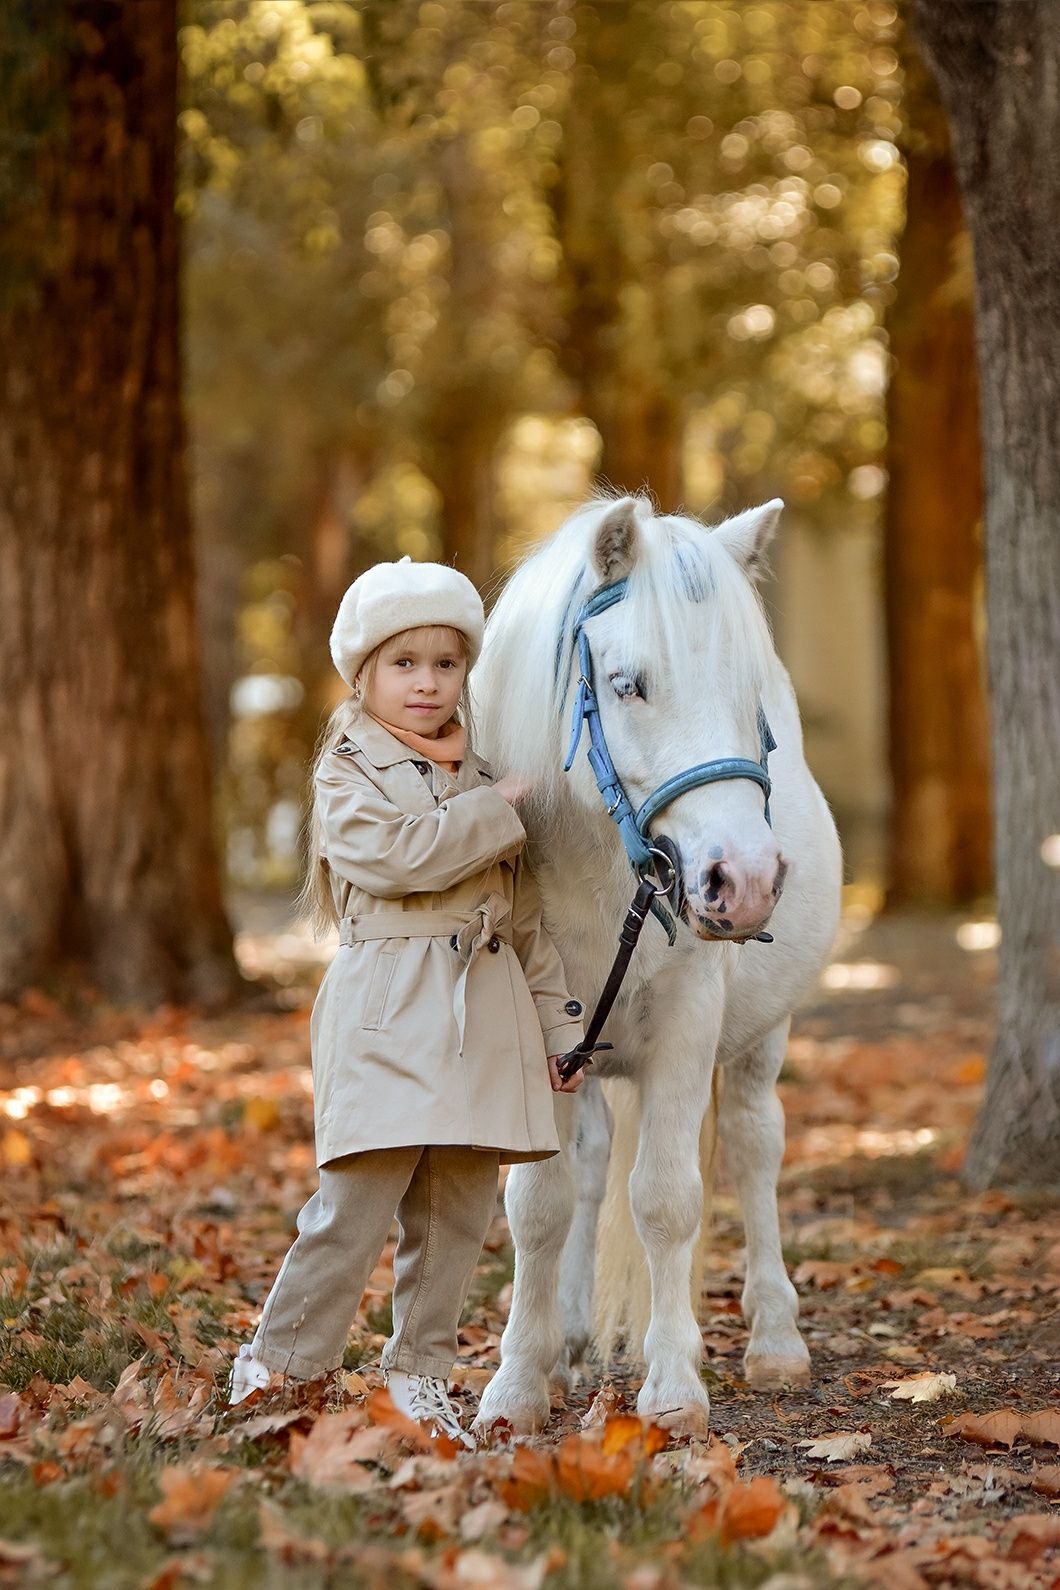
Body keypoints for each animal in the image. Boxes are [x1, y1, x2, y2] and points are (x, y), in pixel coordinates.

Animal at [476, 496, 839, 1443]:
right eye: (629, 683)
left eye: (753, 694)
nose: (743, 882)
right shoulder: (540, 1043)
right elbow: (539, 1206)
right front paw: (518, 1381)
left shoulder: (684, 1025)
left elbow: (668, 1201)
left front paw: (674, 1384)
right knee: (592, 1166)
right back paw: (567, 1341)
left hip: (761, 1040)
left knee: (752, 1145)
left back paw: (774, 1338)